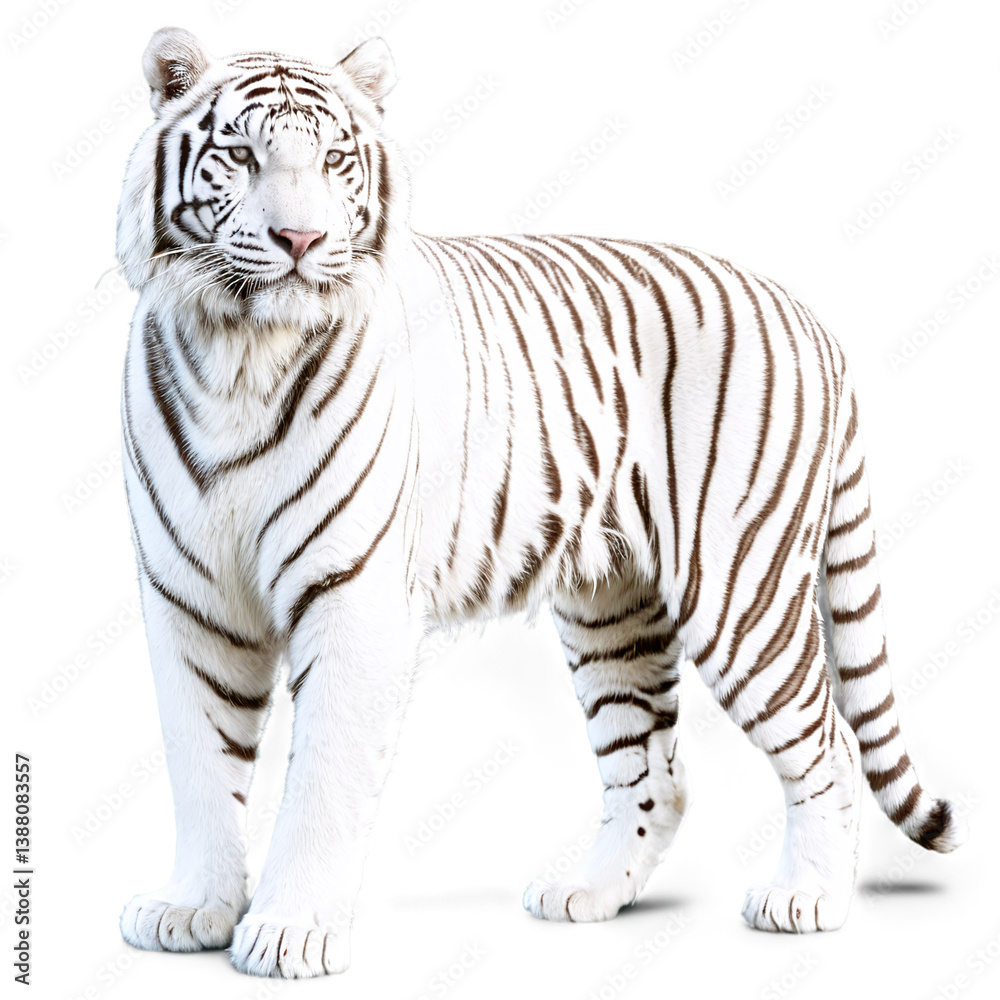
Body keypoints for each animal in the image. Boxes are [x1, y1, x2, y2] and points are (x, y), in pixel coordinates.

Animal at [115, 27, 966, 979]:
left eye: (335, 160)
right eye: (241, 155)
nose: (301, 238)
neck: (240, 352)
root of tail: (811, 316)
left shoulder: (353, 595)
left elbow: (321, 781)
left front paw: (289, 932)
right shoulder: (189, 598)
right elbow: (199, 760)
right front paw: (194, 910)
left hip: (741, 590)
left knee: (827, 743)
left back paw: (806, 899)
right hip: (613, 607)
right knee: (656, 772)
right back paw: (586, 896)